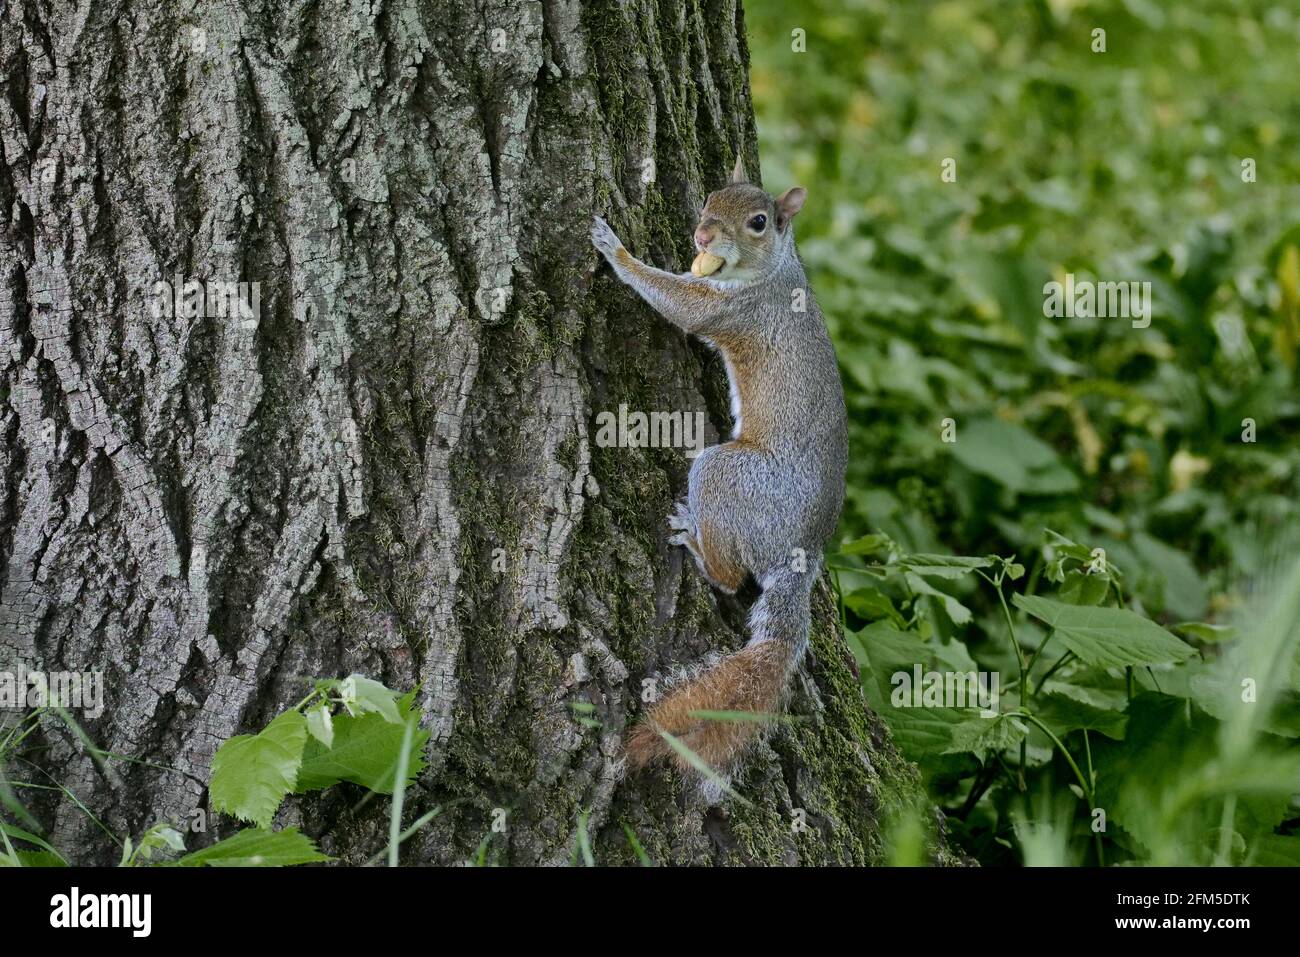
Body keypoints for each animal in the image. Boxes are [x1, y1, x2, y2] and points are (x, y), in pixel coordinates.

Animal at [592, 155, 852, 800]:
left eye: (759, 221)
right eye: (710, 196)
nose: (703, 234)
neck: (773, 268)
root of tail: (801, 551)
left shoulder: (731, 310)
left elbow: (680, 303)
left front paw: (615, 249)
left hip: (728, 475)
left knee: (734, 581)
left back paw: (695, 539)